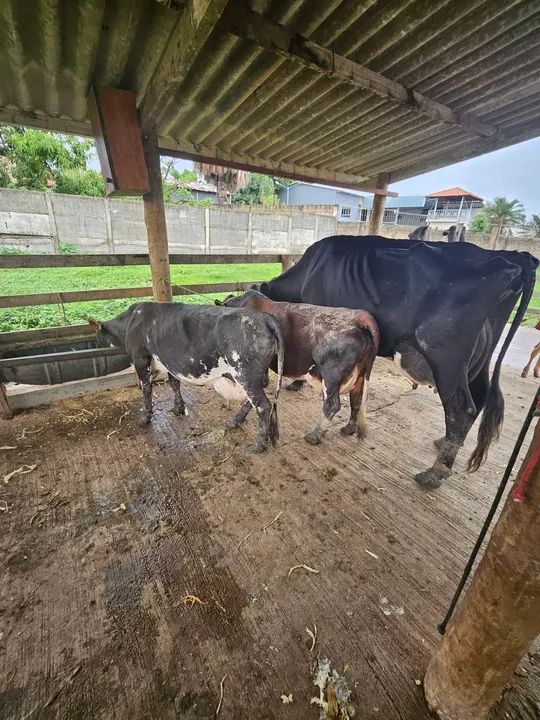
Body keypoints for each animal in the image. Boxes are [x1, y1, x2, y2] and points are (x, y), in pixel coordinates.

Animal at [88, 302, 284, 453]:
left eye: (97, 337)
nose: (95, 348)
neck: (131, 321)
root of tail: (265, 317)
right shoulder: (168, 361)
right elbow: (174, 383)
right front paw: (178, 408)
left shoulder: (141, 359)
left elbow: (146, 388)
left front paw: (145, 417)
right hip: (256, 376)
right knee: (253, 400)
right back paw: (234, 421)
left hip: (245, 373)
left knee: (263, 406)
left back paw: (258, 445)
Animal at [217, 290, 379, 445]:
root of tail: (360, 316)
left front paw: (235, 420)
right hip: (360, 374)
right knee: (356, 399)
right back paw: (349, 428)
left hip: (332, 376)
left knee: (332, 405)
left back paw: (314, 435)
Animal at [255, 234, 538, 488]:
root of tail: (516, 259)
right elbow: (357, 393)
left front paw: (297, 383)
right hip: (478, 362)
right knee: (479, 398)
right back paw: (445, 444)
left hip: (446, 358)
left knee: (461, 408)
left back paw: (435, 472)